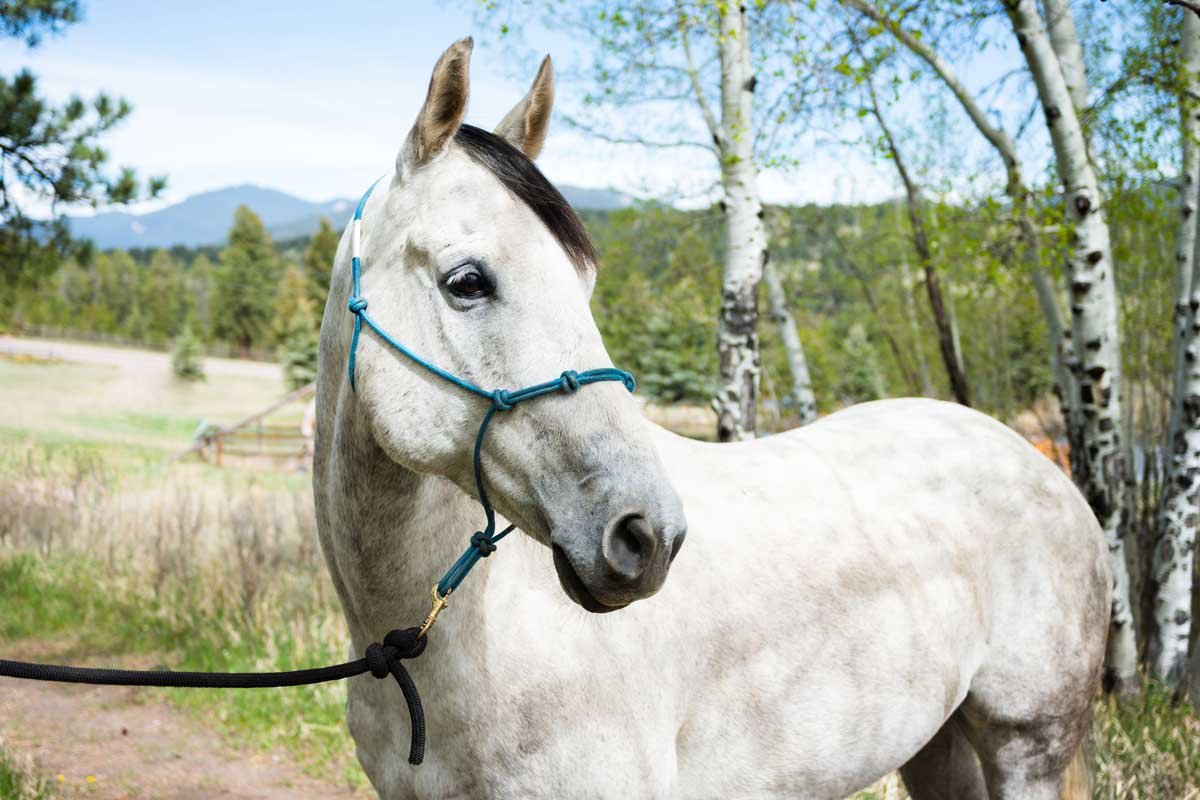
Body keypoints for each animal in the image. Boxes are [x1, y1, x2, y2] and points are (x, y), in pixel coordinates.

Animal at [313, 38, 1109, 800]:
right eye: (467, 282)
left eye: (584, 282)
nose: (648, 535)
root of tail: (1043, 467)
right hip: (938, 748)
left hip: (1027, 748)